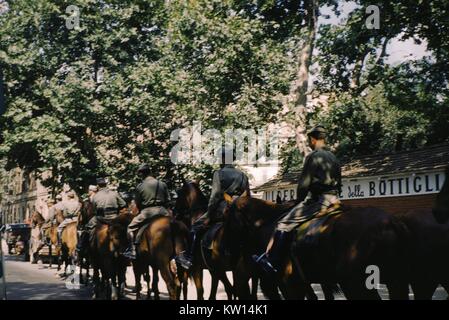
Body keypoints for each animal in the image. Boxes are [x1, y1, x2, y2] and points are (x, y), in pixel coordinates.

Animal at [226, 192, 408, 300]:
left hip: (356, 284)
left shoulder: (291, 285)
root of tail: (390, 223)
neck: (267, 224)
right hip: (394, 281)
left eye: (225, 216)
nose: (230, 254)